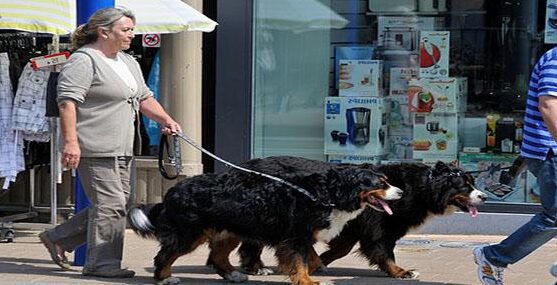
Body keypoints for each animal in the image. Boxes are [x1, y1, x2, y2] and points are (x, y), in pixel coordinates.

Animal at [128, 155, 402, 284]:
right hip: (190, 233)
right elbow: (301, 261)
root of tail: (174, 189)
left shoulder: (302, 236)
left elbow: (310, 258)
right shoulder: (297, 236)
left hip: (229, 231)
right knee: (165, 255)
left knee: (218, 256)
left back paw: (234, 275)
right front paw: (306, 280)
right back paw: (164, 278)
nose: (400, 192)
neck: (327, 193)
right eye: (381, 183)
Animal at [219, 161, 484, 278]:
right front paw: (401, 271)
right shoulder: (380, 225)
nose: (483, 195)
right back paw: (256, 267)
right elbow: (382, 249)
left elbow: (341, 248)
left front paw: (319, 262)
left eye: (473, 183)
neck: (420, 189)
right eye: (465, 185)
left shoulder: (351, 225)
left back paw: (255, 267)